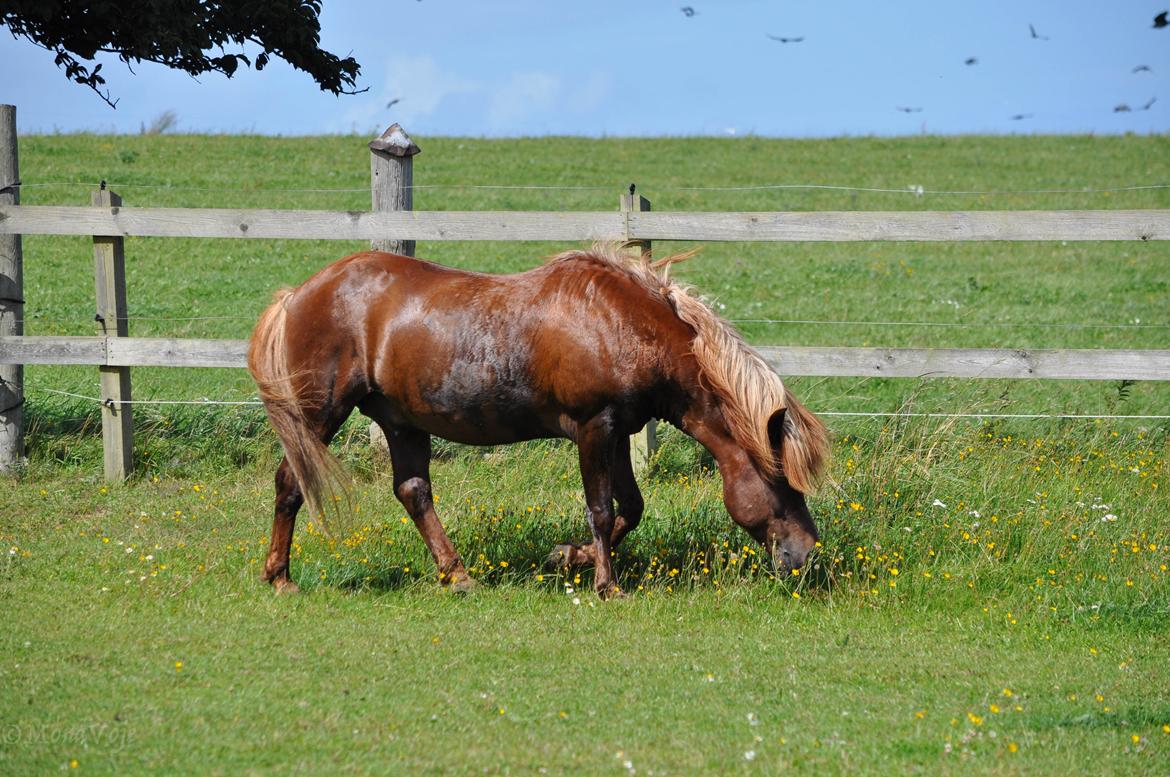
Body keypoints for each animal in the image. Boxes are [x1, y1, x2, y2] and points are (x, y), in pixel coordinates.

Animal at [246, 245, 833, 596]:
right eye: (782, 484)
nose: (807, 554)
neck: (621, 324)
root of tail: (296, 295)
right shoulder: (594, 427)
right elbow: (602, 510)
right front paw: (606, 584)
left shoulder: (619, 431)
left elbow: (631, 509)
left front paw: (568, 557)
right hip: (317, 413)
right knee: (290, 483)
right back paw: (280, 577)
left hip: (400, 420)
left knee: (413, 491)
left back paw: (459, 575)